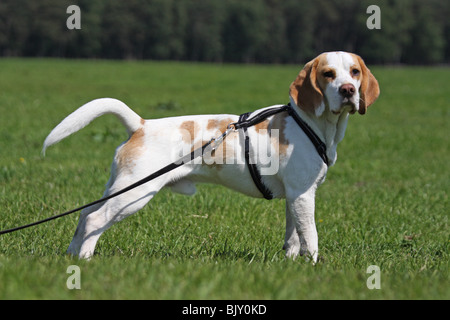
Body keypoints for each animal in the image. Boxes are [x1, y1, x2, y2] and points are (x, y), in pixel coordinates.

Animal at [42, 50, 380, 260]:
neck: (311, 122)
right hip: (133, 194)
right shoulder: (303, 195)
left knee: (84, 215)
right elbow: (311, 237)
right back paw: (86, 259)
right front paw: (312, 266)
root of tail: (141, 124)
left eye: (354, 72)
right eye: (328, 74)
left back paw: (72, 256)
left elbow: (294, 237)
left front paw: (290, 263)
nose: (348, 90)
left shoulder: (296, 197)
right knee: (94, 219)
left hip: (119, 188)